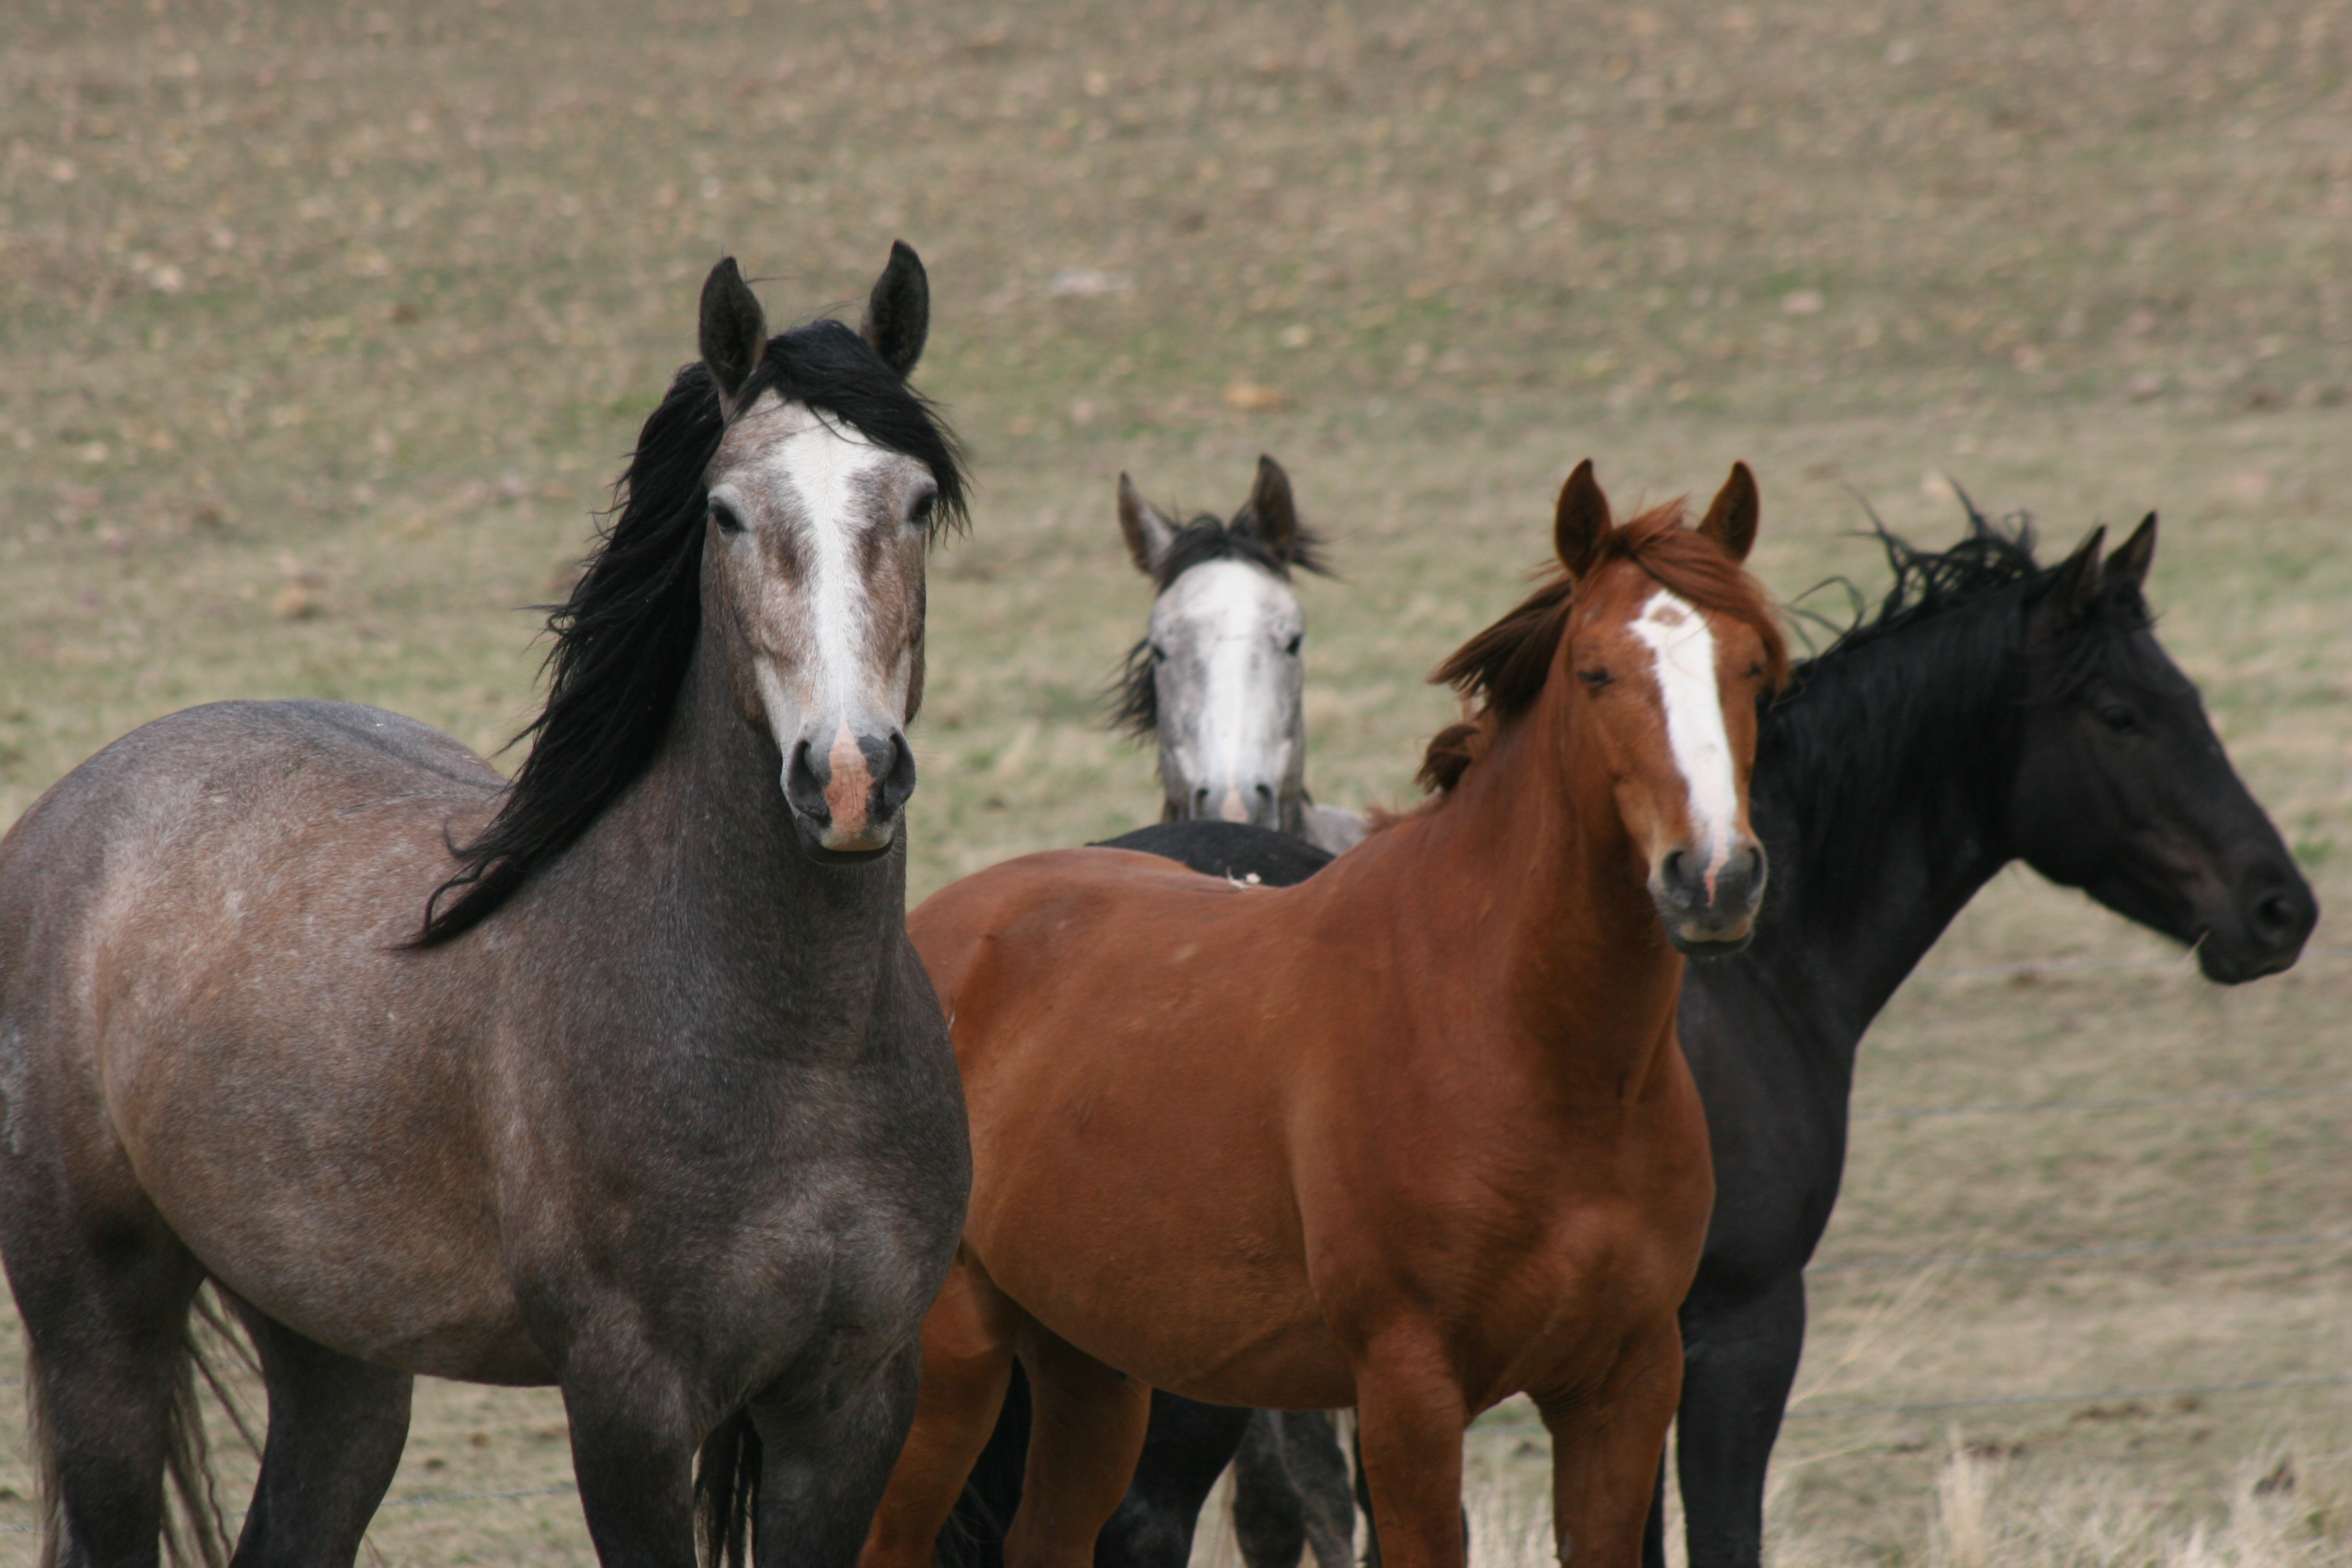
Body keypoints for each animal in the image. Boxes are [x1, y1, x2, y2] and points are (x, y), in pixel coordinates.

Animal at [0, 245, 969, 1568]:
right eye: (725, 513)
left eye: (914, 501)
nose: (850, 777)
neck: (795, 1049)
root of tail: (66, 811)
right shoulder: (627, 1403)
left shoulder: (852, 1403)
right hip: (102, 1330)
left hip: (337, 1357)